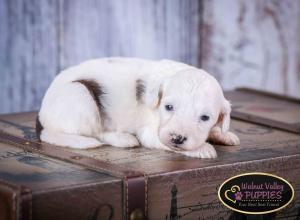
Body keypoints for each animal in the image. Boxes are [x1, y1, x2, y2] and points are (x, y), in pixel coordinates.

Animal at [37, 58, 239, 158]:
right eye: (168, 107)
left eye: (205, 118)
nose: (177, 138)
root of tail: (42, 120)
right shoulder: (150, 132)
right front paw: (203, 149)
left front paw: (224, 134)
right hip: (80, 96)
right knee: (97, 133)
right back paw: (123, 139)